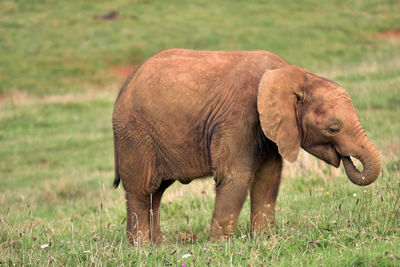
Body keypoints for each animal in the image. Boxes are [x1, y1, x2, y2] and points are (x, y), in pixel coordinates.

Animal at [111, 49, 380, 246]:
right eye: (333, 129)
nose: (346, 157)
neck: (293, 75)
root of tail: (124, 86)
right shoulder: (238, 118)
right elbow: (236, 177)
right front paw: (219, 246)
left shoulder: (269, 128)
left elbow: (268, 177)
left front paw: (263, 239)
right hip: (134, 134)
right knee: (141, 189)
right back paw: (141, 247)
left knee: (156, 192)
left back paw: (160, 245)